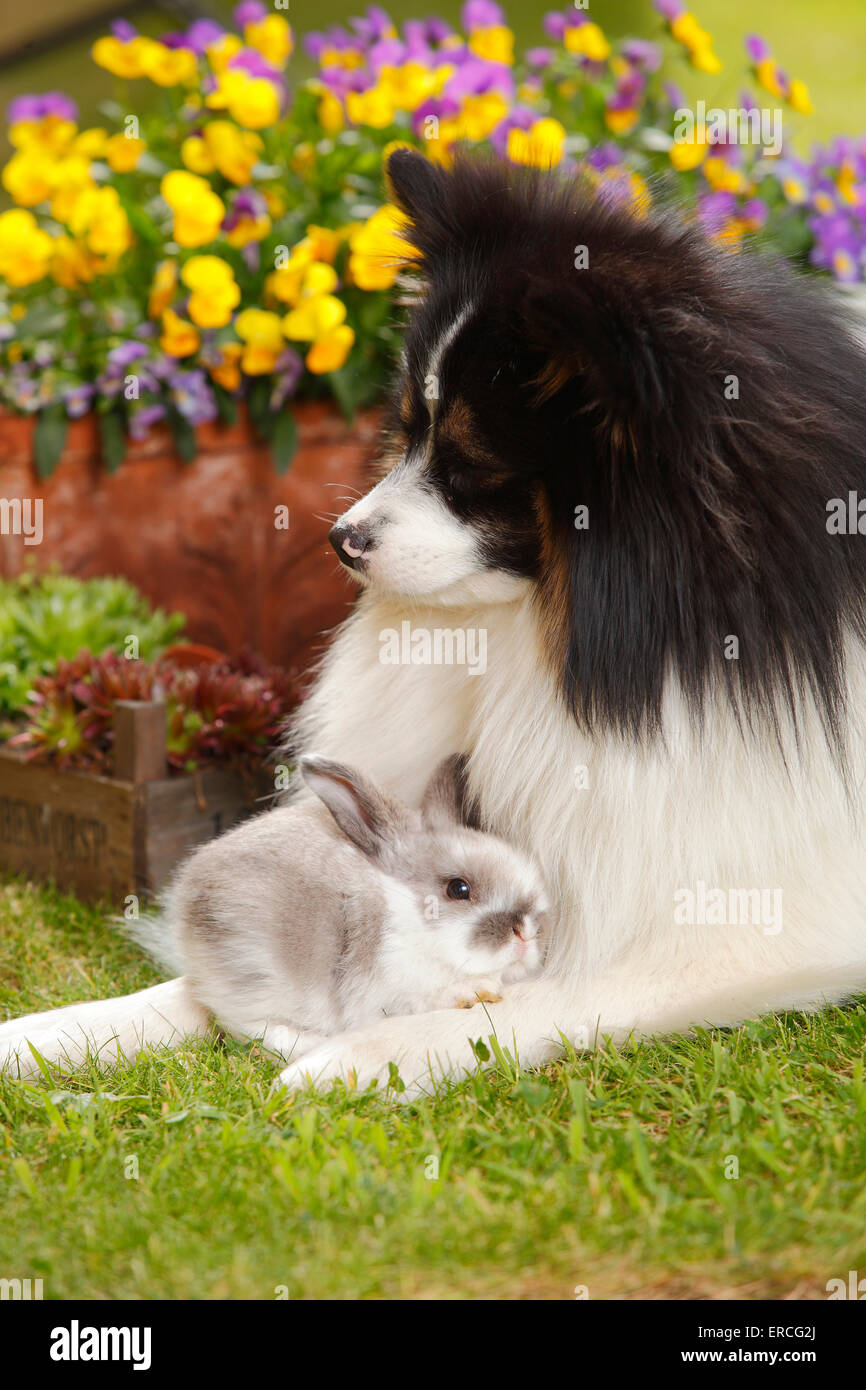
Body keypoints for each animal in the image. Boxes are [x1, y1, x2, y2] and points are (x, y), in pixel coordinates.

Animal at [1, 756, 547, 1078]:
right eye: (459, 889)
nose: (525, 931)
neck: (404, 913)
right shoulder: (387, 986)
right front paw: (474, 993)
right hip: (264, 977)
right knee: (253, 1028)